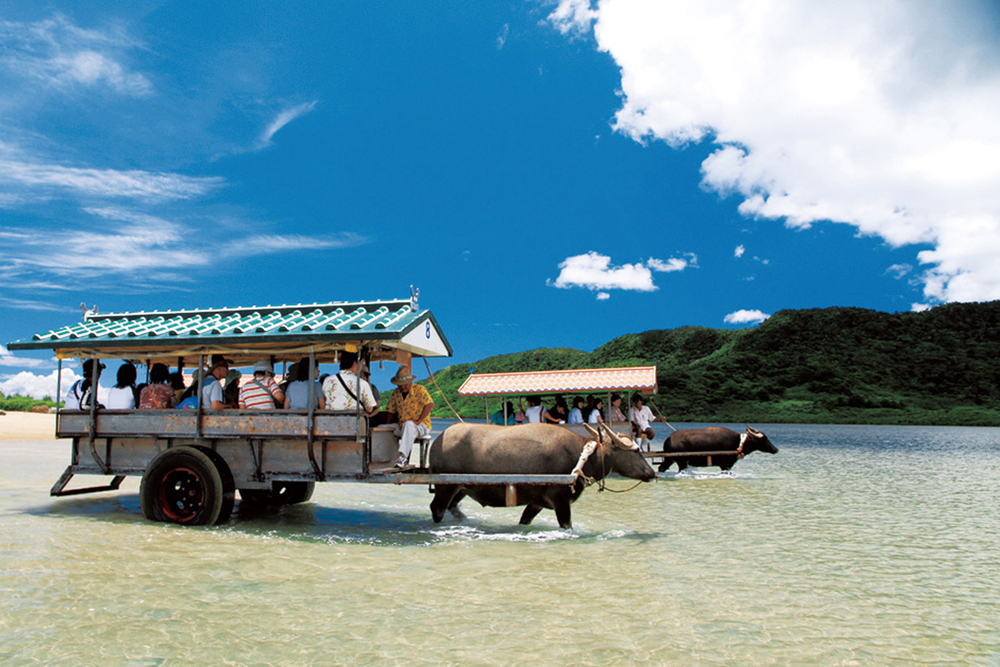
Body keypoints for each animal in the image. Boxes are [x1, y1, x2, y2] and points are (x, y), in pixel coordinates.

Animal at [428, 422, 656, 529]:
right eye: (636, 451)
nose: (652, 473)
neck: (579, 458)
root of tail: (437, 441)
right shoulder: (561, 500)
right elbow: (567, 525)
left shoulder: (537, 502)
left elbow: (524, 520)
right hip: (445, 486)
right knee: (437, 508)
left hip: (461, 487)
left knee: (452, 506)